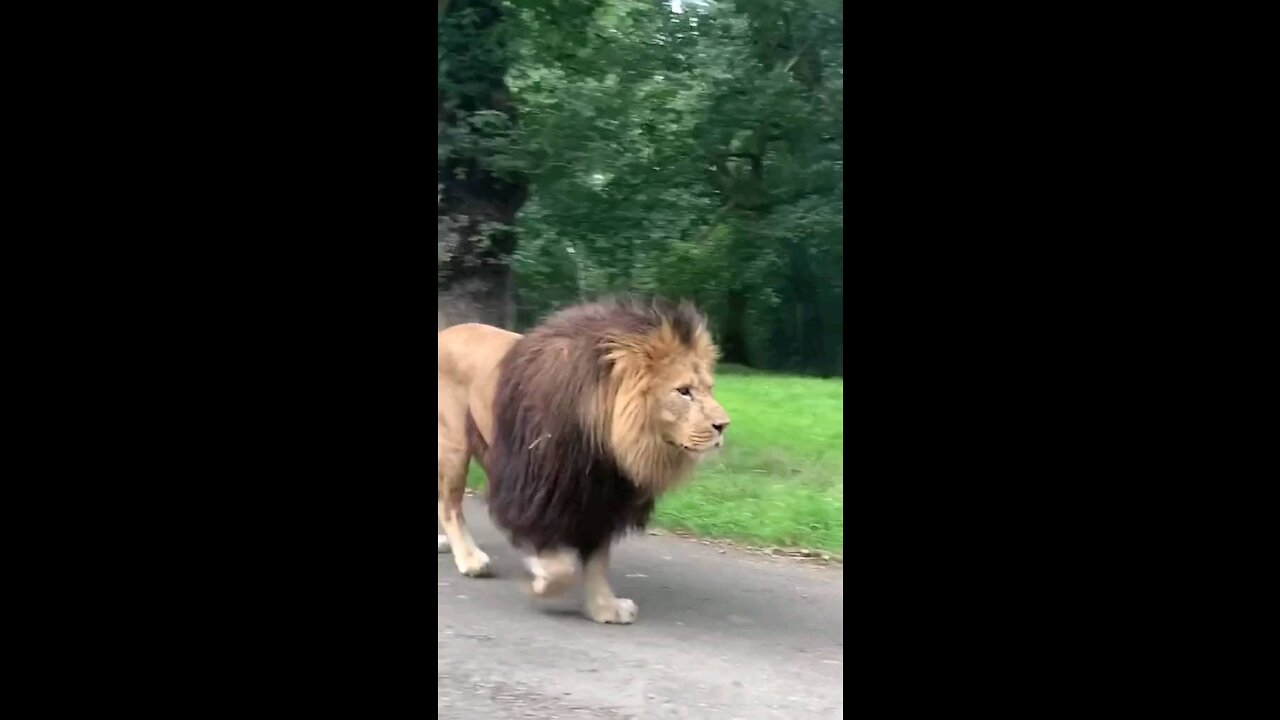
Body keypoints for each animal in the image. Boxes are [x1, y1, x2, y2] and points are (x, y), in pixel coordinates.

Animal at [437, 297, 732, 622]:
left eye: (709, 388)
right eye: (683, 391)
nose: (723, 425)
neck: (606, 445)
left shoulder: (600, 497)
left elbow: (598, 561)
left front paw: (605, 607)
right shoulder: (538, 492)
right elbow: (560, 566)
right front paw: (542, 582)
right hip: (453, 444)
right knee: (449, 506)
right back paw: (470, 559)